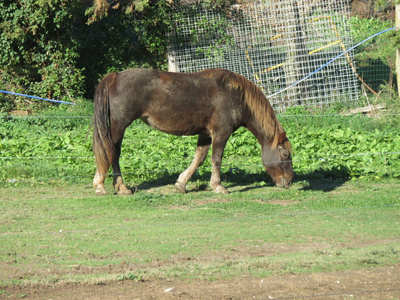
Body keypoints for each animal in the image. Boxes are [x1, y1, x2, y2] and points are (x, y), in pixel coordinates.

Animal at [94, 67, 294, 195]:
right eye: (284, 153)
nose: (290, 181)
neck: (236, 96)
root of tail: (114, 76)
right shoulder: (221, 133)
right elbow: (216, 158)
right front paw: (218, 186)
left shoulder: (205, 134)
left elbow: (199, 159)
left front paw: (181, 184)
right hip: (119, 127)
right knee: (112, 153)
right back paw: (115, 187)